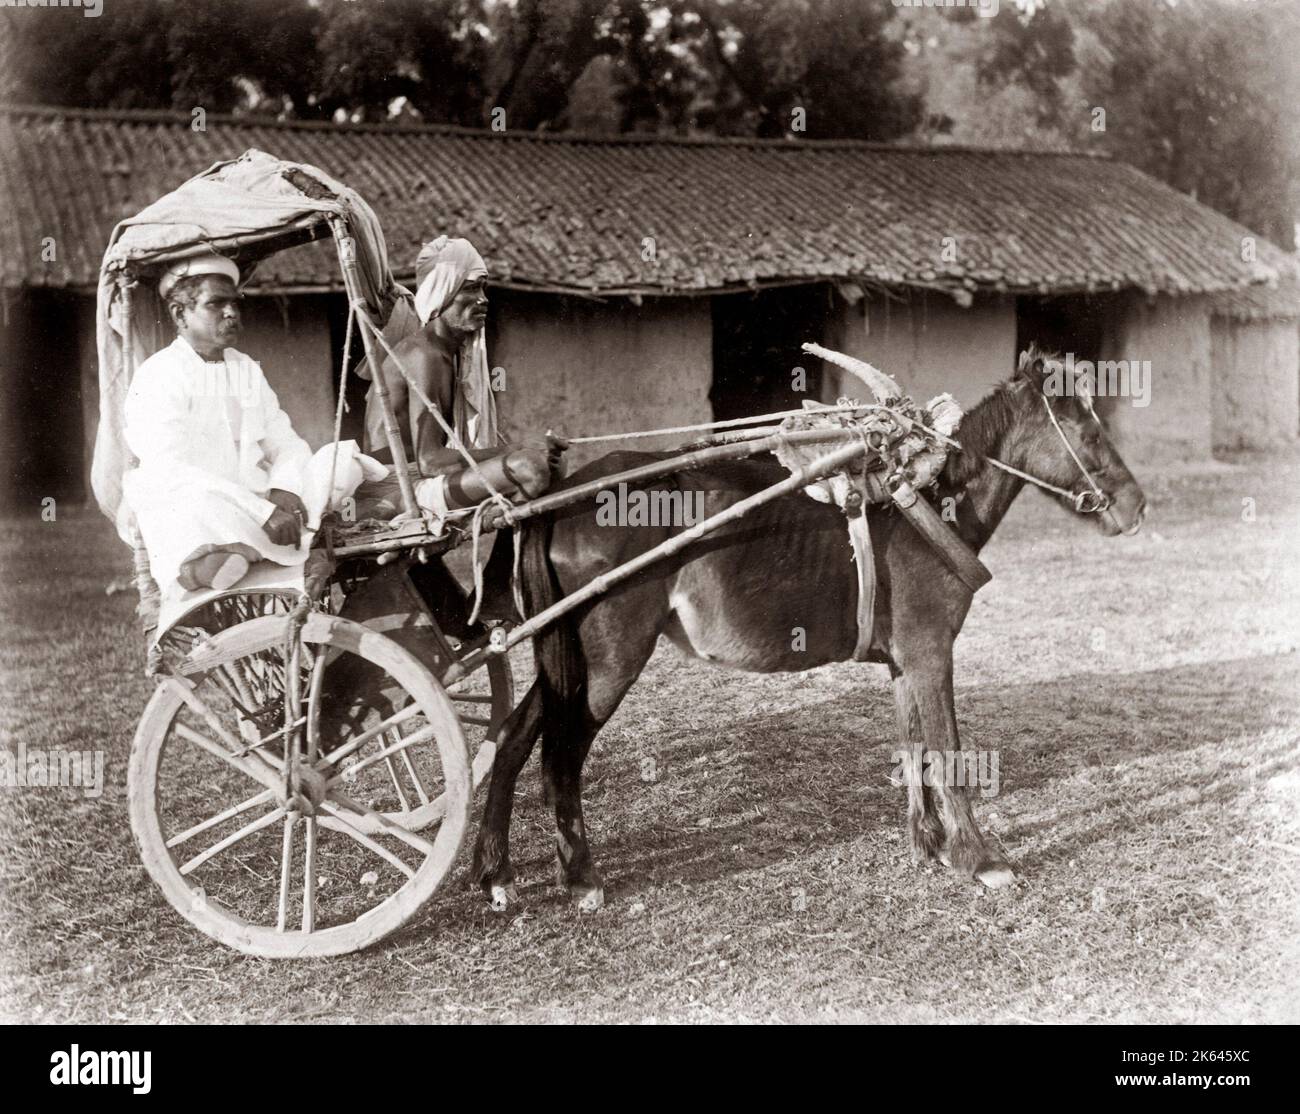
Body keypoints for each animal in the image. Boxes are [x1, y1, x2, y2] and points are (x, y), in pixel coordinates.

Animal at [473, 348, 1144, 915]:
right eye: (1087, 431)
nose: (1136, 507)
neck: (927, 497)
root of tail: (561, 495)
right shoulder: (931, 655)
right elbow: (950, 754)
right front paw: (981, 860)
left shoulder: (905, 662)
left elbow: (913, 747)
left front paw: (926, 845)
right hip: (609, 663)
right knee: (562, 758)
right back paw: (580, 874)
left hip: (567, 657)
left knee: (513, 737)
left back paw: (496, 871)